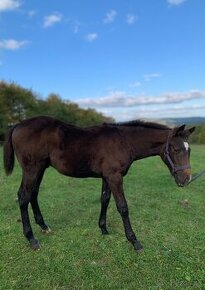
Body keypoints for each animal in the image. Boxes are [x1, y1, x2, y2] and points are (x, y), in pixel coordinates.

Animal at [3, 115, 195, 251]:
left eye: (189, 150)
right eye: (176, 149)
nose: (186, 179)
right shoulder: (115, 176)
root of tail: (17, 125)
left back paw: (43, 226)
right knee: (23, 197)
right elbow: (122, 207)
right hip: (32, 169)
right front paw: (134, 241)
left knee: (33, 194)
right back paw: (32, 239)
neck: (124, 141)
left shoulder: (107, 176)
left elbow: (105, 200)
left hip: (41, 168)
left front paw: (103, 229)